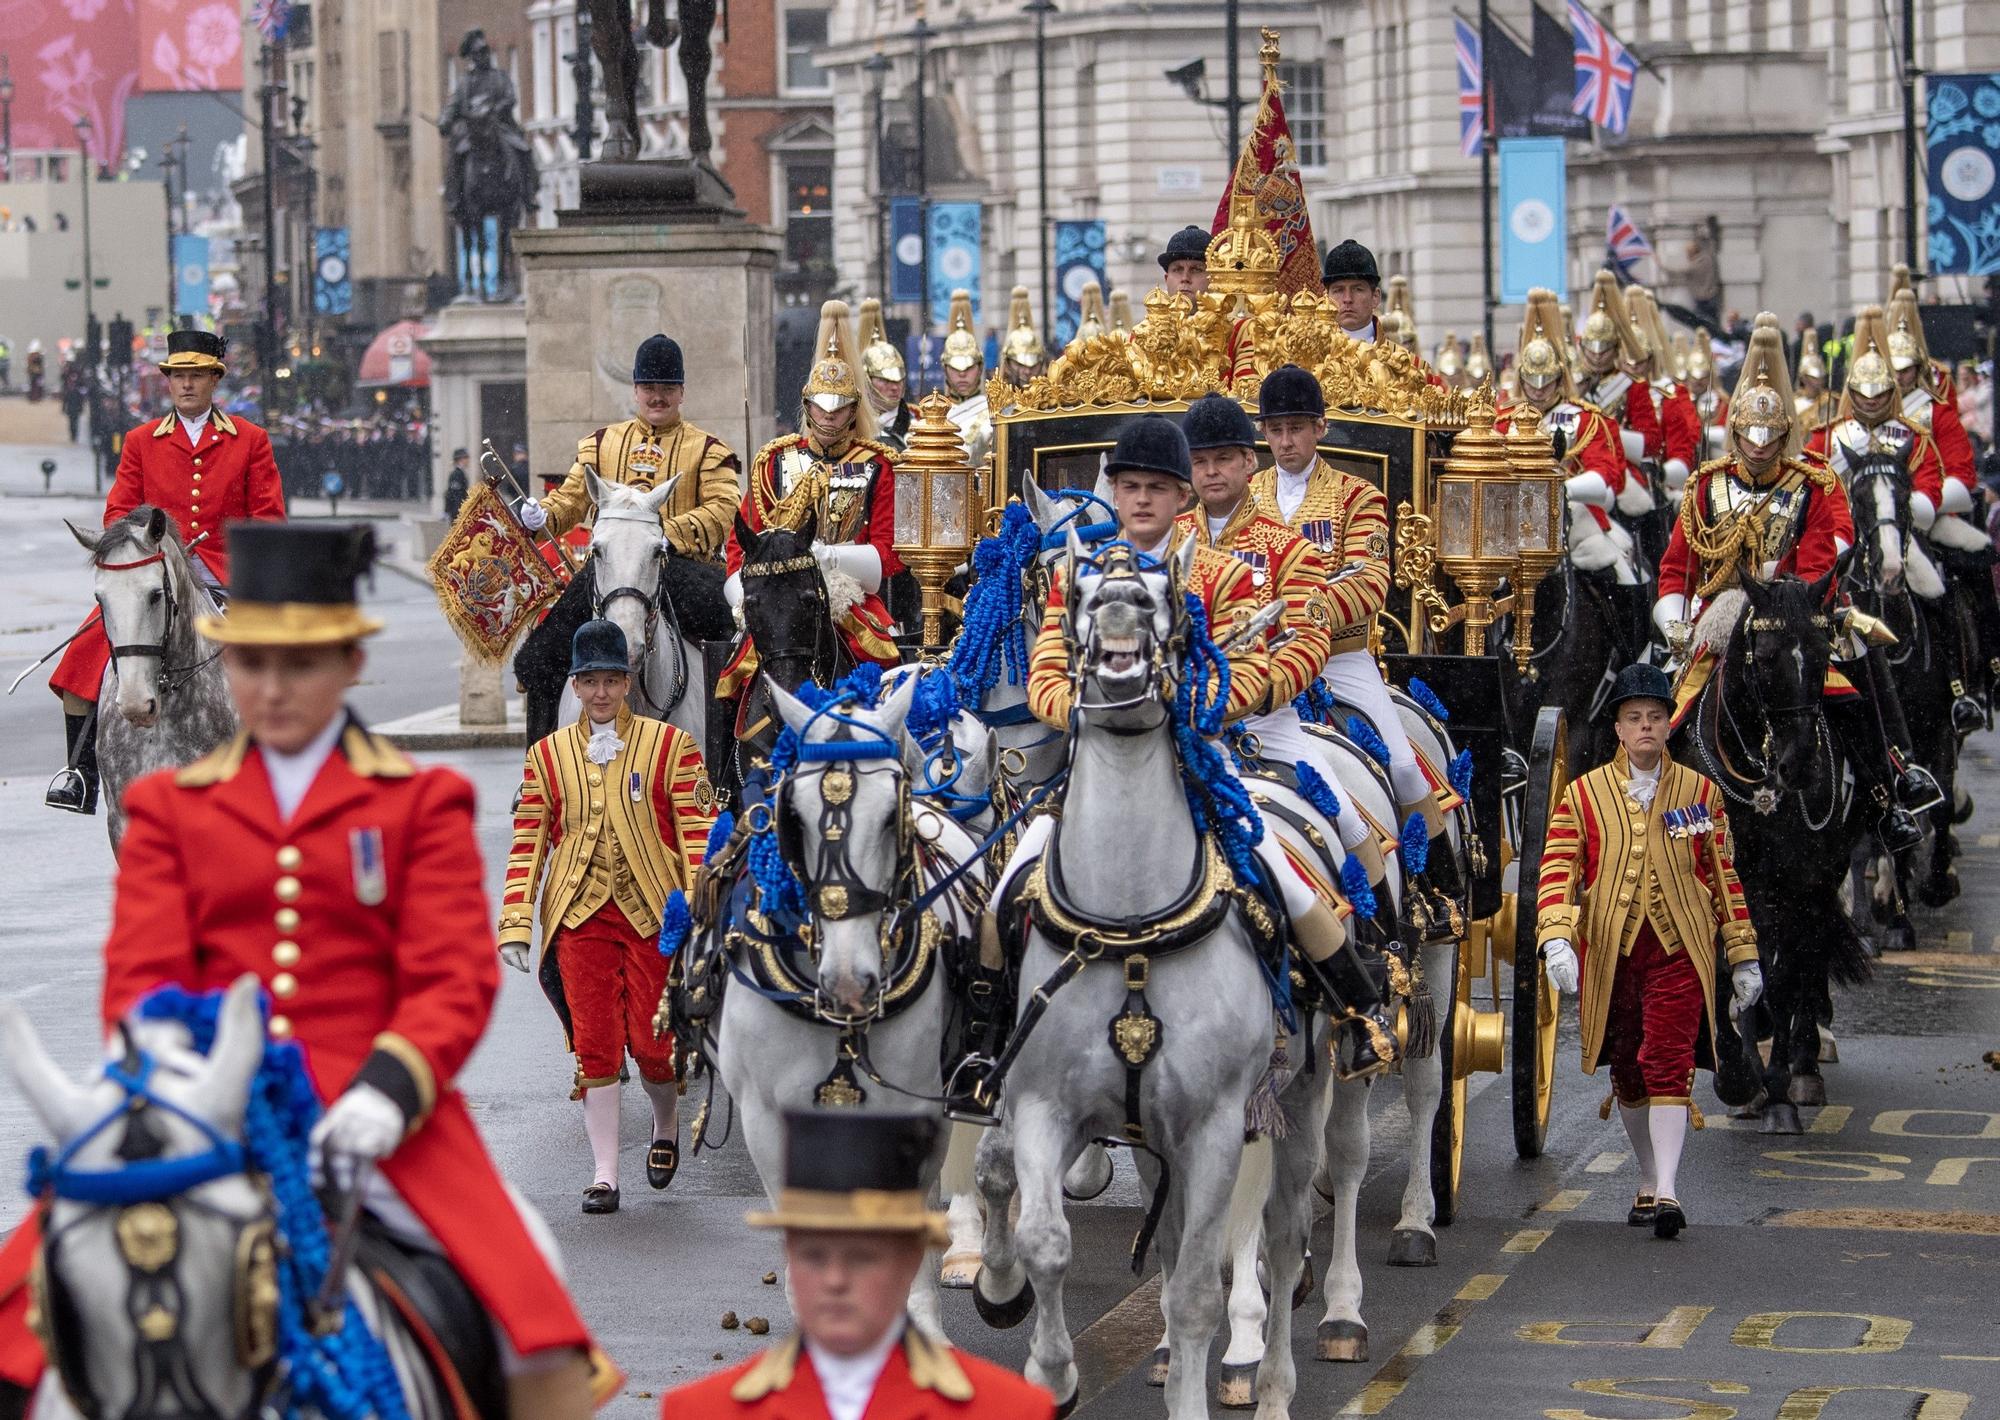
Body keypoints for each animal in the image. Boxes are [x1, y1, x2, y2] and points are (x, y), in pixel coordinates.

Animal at [968, 540, 1312, 1416]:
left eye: (1171, 596)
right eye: (1081, 590)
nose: (1122, 602)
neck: (1129, 929)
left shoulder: (1218, 1125)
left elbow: (1198, 1287)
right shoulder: (1040, 1103)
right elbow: (1044, 1238)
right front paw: (1050, 1371)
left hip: (1306, 1095)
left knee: (1286, 1234)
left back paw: (1277, 1376)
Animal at [1664, 572, 1864, 1144]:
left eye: (1821, 653)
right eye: (1768, 657)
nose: (1800, 765)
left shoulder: (1799, 882)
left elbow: (1783, 977)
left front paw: (1775, 1090)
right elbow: (1725, 972)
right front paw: (1736, 1075)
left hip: (1819, 881)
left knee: (1806, 957)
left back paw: (1804, 1065)